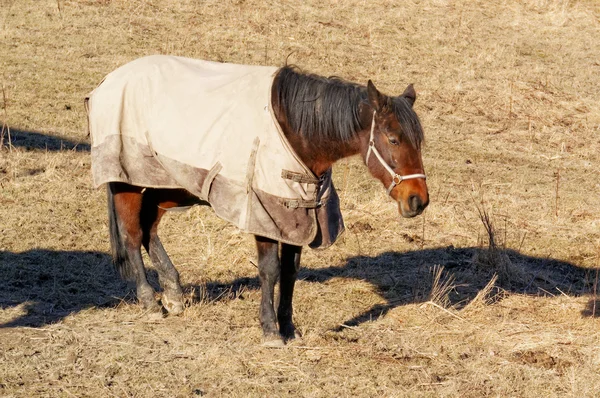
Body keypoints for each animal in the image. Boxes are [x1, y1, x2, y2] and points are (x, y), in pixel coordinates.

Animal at [88, 56, 426, 346]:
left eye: (419, 141)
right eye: (393, 139)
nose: (418, 200)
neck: (295, 131)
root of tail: (108, 81)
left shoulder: (297, 216)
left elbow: (290, 272)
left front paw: (288, 327)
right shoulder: (265, 216)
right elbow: (270, 270)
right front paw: (270, 331)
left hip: (169, 184)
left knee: (149, 227)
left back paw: (173, 293)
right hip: (128, 182)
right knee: (132, 235)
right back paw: (149, 301)